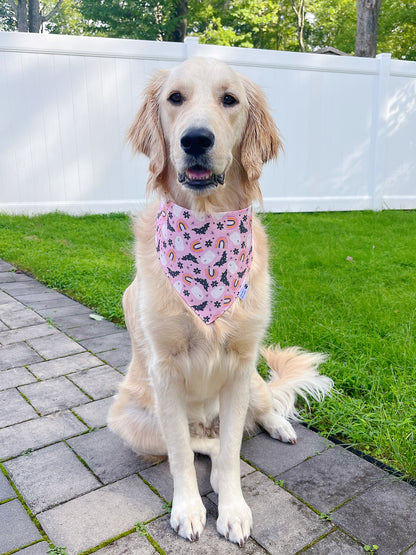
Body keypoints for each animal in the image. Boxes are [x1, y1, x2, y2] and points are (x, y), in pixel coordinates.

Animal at [109, 57, 334, 548]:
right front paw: (189, 509)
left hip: (253, 382)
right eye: (175, 98)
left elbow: (232, 451)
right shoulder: (164, 371)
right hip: (129, 420)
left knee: (262, 411)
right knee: (200, 444)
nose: (196, 139)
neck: (208, 225)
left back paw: (280, 427)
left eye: (229, 99)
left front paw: (232, 510)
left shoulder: (240, 363)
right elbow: (182, 453)